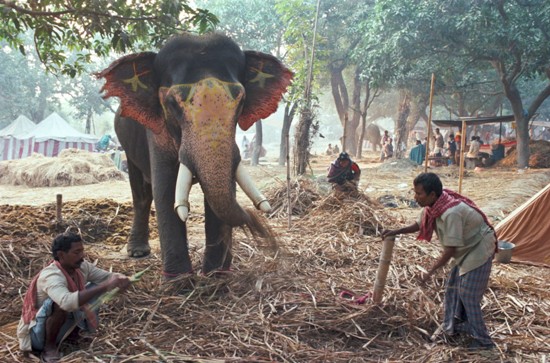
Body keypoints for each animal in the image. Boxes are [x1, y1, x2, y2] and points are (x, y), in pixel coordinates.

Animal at [96, 34, 294, 278]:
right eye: (172, 103)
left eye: (241, 101)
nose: (257, 221)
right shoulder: (157, 132)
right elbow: (165, 189)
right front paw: (179, 280)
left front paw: (216, 275)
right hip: (126, 146)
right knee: (141, 192)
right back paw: (137, 252)